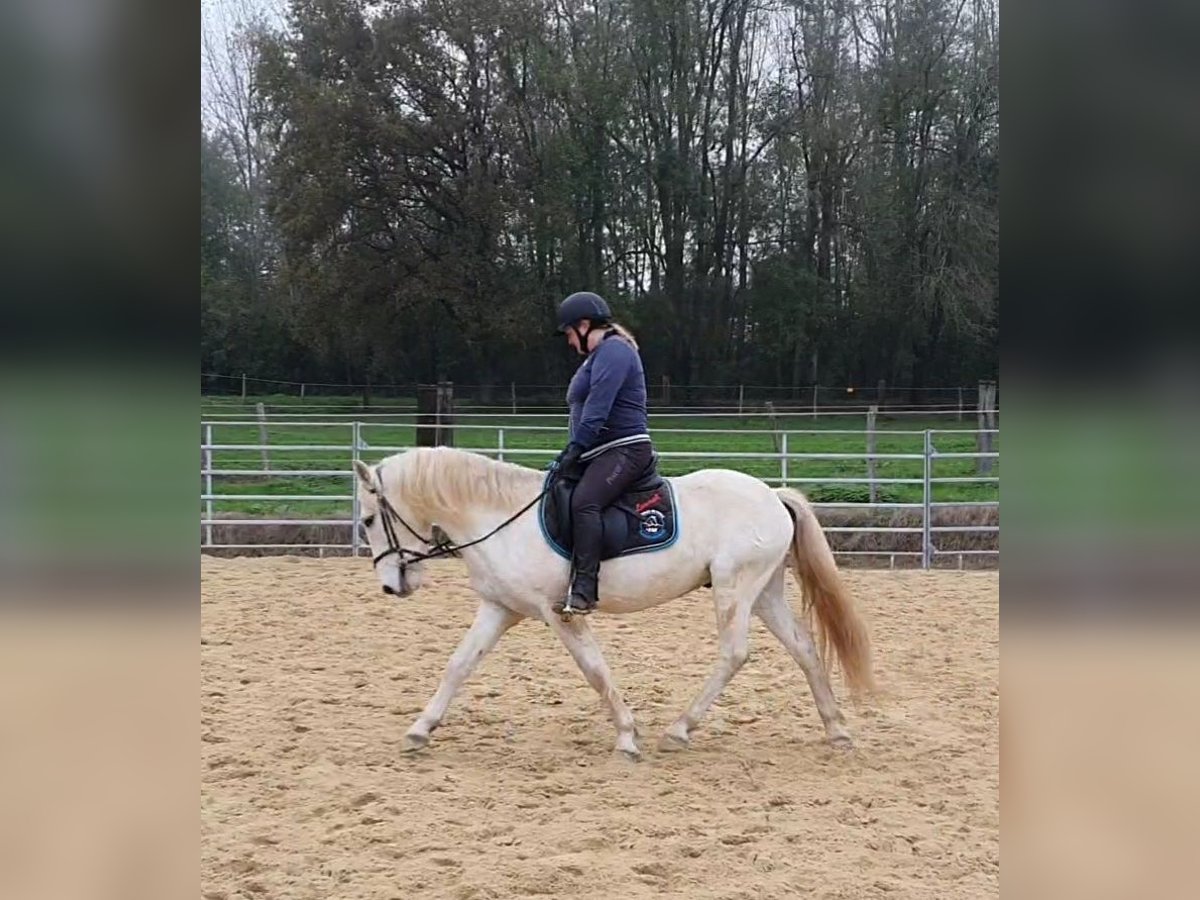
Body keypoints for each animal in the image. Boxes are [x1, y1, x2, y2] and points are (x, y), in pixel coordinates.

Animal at [350, 446, 878, 763]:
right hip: (763, 592)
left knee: (734, 654)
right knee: (804, 649)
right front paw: (420, 729)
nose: (391, 587)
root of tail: (772, 495)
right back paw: (837, 730)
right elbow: (458, 666)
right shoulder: (499, 608)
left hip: (735, 587)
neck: (500, 519)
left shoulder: (559, 613)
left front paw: (627, 736)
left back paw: (680, 729)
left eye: (369, 519)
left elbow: (595, 671)